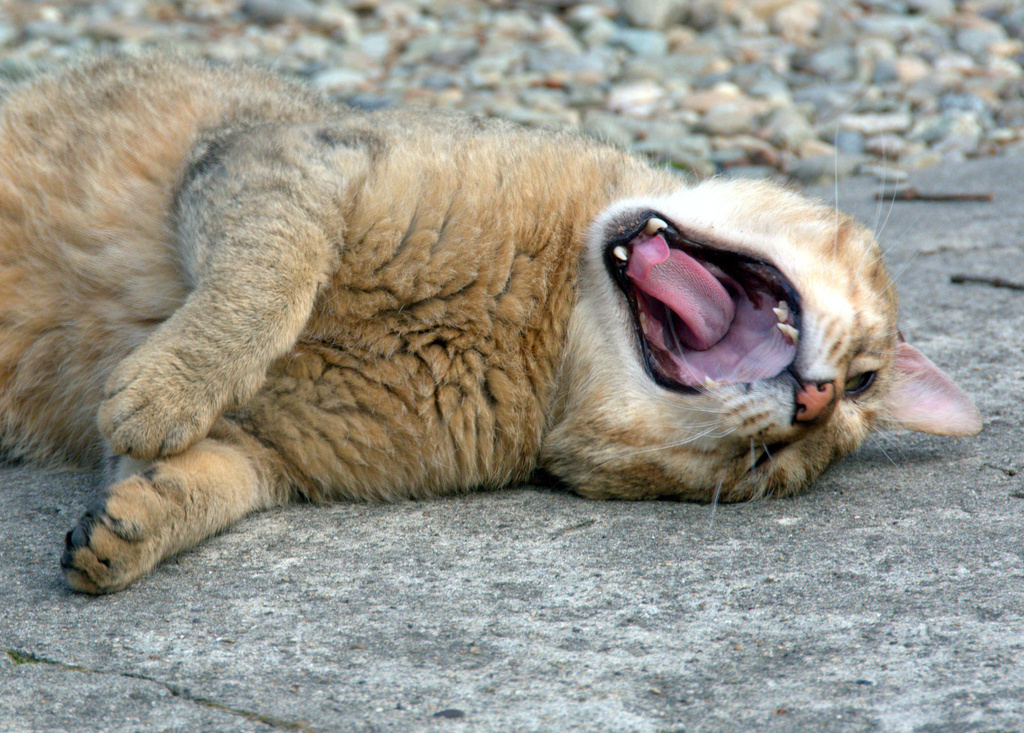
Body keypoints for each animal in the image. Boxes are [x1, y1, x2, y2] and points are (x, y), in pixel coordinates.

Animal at [0, 51, 978, 593]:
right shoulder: (273, 160)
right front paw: (168, 387)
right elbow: (267, 280)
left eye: (762, 466)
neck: (536, 318)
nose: (814, 402)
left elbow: (204, 481)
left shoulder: (269, 455)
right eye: (864, 376)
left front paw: (128, 529)